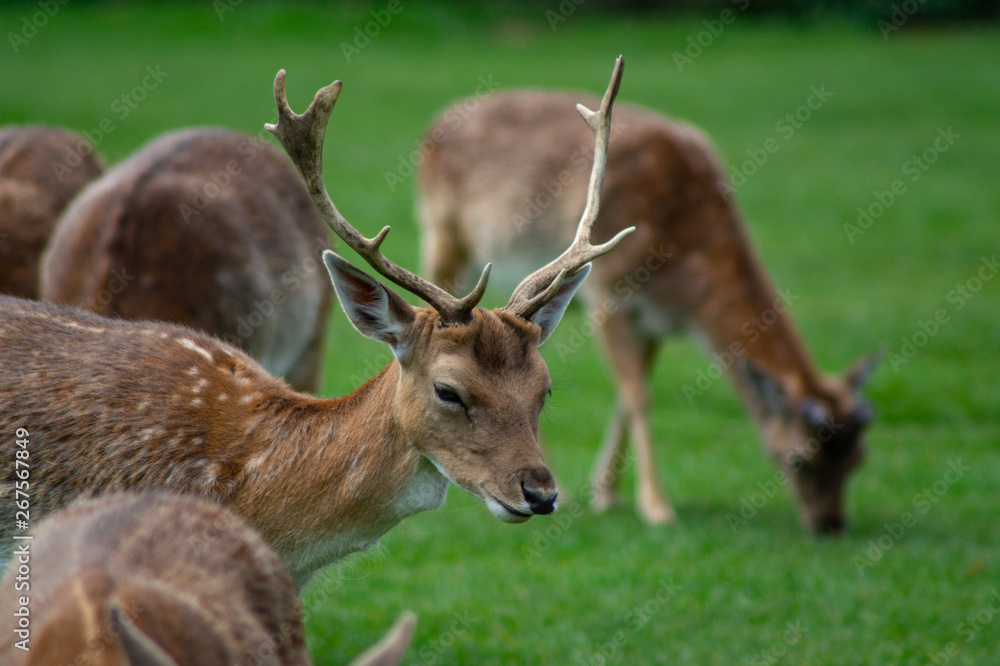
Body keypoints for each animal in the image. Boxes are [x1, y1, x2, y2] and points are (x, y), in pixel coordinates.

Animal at [417, 82, 881, 534]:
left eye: (860, 457)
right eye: (799, 459)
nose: (830, 525)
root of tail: (437, 123)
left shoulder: (656, 320)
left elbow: (628, 394)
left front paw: (607, 494)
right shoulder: (609, 292)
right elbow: (639, 395)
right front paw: (656, 507)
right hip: (443, 237)